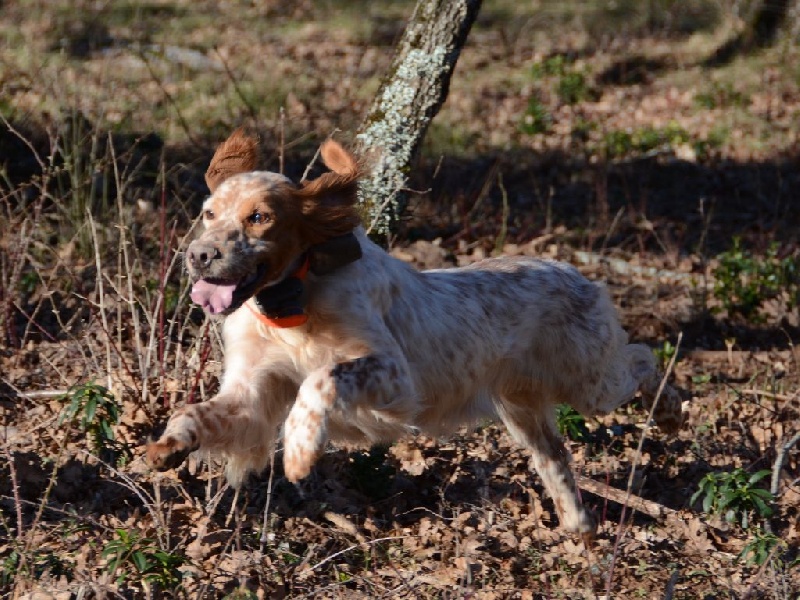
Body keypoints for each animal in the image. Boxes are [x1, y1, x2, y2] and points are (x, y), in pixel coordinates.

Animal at [147, 129, 683, 540]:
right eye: (210, 212)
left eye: (259, 217)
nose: (199, 255)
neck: (291, 303)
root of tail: (572, 269)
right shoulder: (251, 396)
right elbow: (196, 412)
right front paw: (169, 444)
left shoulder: (393, 377)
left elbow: (320, 380)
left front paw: (301, 448)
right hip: (522, 410)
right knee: (557, 457)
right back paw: (578, 525)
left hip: (589, 379)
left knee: (644, 357)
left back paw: (671, 412)